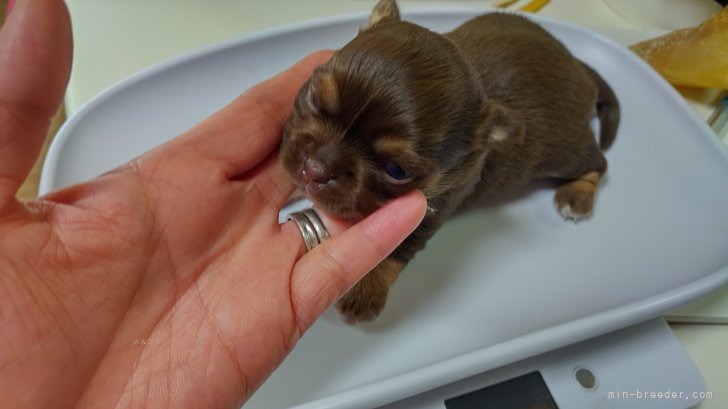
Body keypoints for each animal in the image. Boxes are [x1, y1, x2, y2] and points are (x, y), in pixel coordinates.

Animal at [278, 0, 620, 326]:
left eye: (397, 171)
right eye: (313, 99)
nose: (314, 170)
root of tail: (577, 66)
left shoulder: (438, 205)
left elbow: (401, 244)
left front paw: (366, 285)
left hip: (561, 150)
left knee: (598, 161)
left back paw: (576, 195)